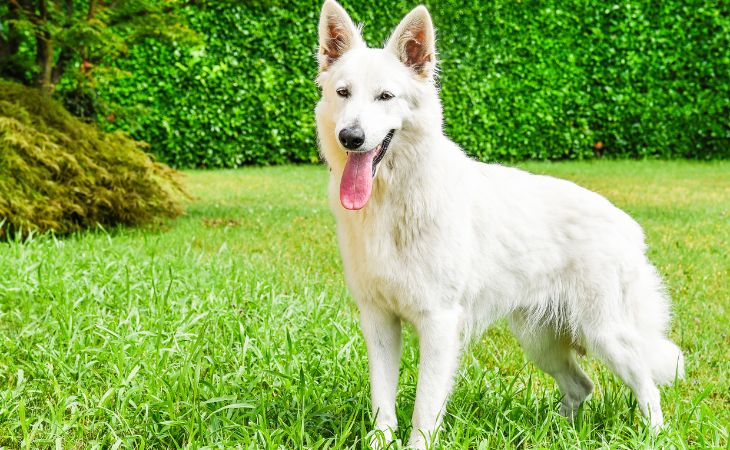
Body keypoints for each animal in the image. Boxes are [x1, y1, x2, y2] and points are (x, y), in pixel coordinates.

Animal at [312, 1, 684, 448]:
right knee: (582, 386)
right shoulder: (379, 321)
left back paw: (652, 435)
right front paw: (381, 440)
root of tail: (627, 226)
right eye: (343, 93)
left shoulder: (439, 324)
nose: (351, 137)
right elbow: (382, 402)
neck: (395, 198)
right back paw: (557, 432)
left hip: (607, 337)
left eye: (385, 96)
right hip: (540, 342)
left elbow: (424, 408)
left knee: (648, 388)